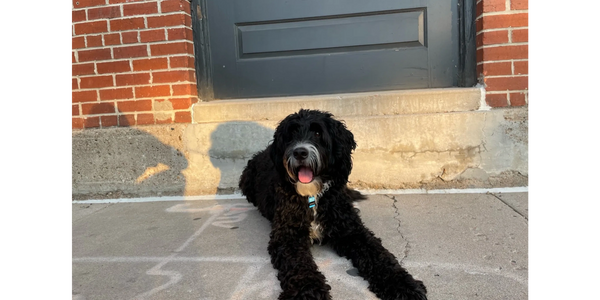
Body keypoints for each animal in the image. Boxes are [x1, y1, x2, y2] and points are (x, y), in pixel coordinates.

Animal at [239, 109, 426, 298]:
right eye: (291, 134)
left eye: (317, 133)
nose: (300, 153)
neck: (313, 194)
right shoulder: (288, 236)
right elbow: (298, 264)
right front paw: (307, 291)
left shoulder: (351, 230)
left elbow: (378, 254)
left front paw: (402, 285)